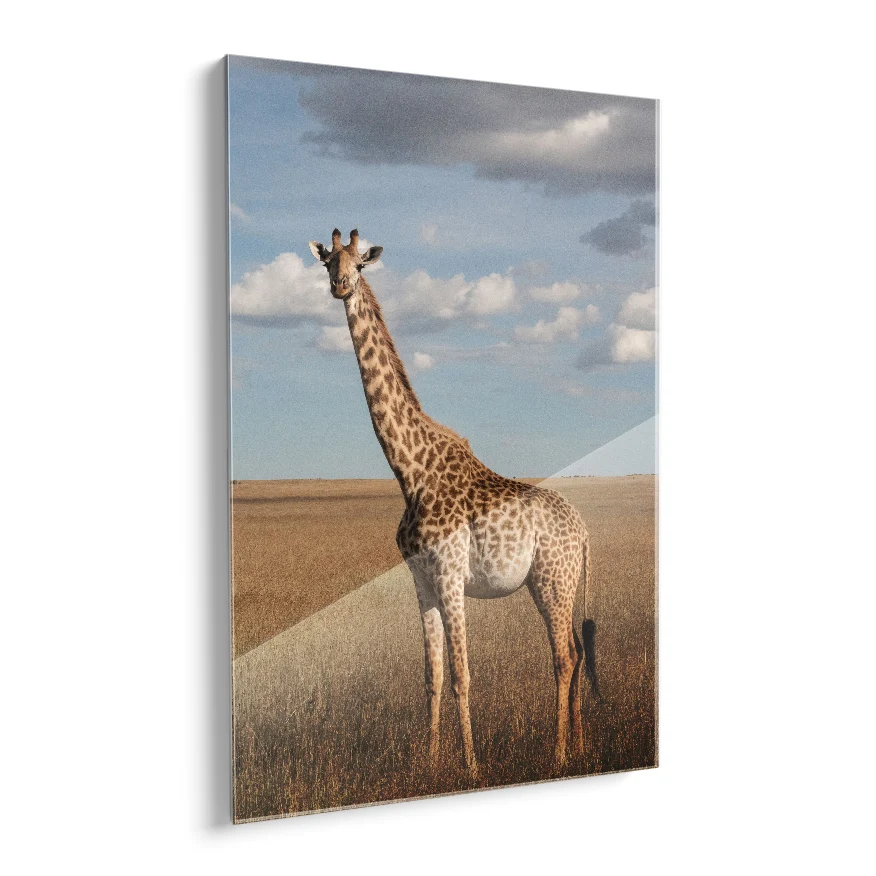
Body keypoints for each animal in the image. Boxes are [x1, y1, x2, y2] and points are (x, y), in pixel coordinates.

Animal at [309, 229, 600, 778]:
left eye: (360, 262)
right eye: (327, 262)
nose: (340, 286)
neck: (409, 472)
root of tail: (585, 530)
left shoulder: (449, 576)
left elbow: (464, 676)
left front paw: (471, 766)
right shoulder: (421, 581)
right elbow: (433, 677)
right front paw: (429, 763)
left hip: (553, 580)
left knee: (564, 657)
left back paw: (557, 753)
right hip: (552, 583)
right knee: (574, 649)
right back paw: (579, 745)